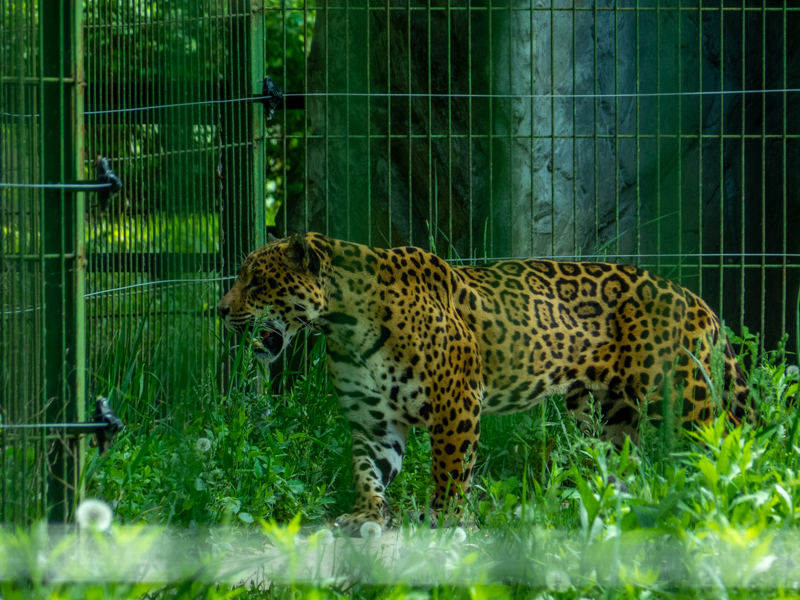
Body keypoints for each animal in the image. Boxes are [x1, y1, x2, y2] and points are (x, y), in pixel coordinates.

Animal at [217, 232, 755, 536]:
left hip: (687, 403)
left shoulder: (455, 401)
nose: (219, 310)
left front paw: (445, 518)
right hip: (612, 416)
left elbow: (451, 468)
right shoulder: (373, 421)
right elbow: (367, 469)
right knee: (625, 465)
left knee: (721, 453)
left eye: (257, 281)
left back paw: (716, 508)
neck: (344, 324)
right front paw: (366, 515)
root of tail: (695, 299)